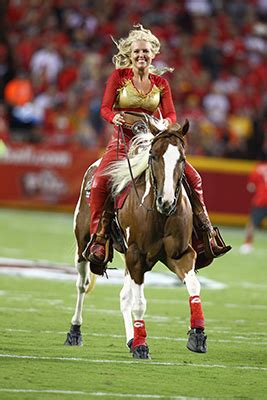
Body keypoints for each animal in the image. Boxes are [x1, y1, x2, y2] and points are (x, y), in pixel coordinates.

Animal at [65, 114, 207, 358]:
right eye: (153, 155)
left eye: (182, 159)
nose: (166, 201)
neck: (159, 214)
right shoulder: (136, 256)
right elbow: (140, 303)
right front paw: (142, 345)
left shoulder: (180, 254)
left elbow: (194, 287)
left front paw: (197, 334)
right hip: (83, 244)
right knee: (82, 285)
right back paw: (75, 331)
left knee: (124, 296)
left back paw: (130, 338)